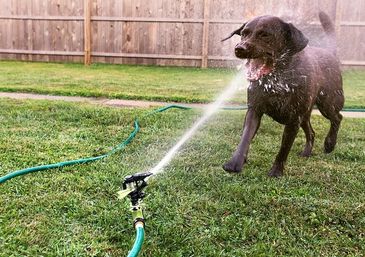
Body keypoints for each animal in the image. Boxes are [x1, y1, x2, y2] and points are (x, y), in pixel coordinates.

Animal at [220, 12, 342, 176]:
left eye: (265, 34)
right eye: (244, 33)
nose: (239, 48)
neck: (277, 78)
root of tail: (329, 52)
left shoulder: (293, 119)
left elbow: (284, 148)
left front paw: (276, 171)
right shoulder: (254, 110)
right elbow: (245, 138)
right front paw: (234, 163)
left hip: (327, 103)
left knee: (337, 118)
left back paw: (330, 143)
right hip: (305, 115)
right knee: (312, 132)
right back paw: (307, 152)